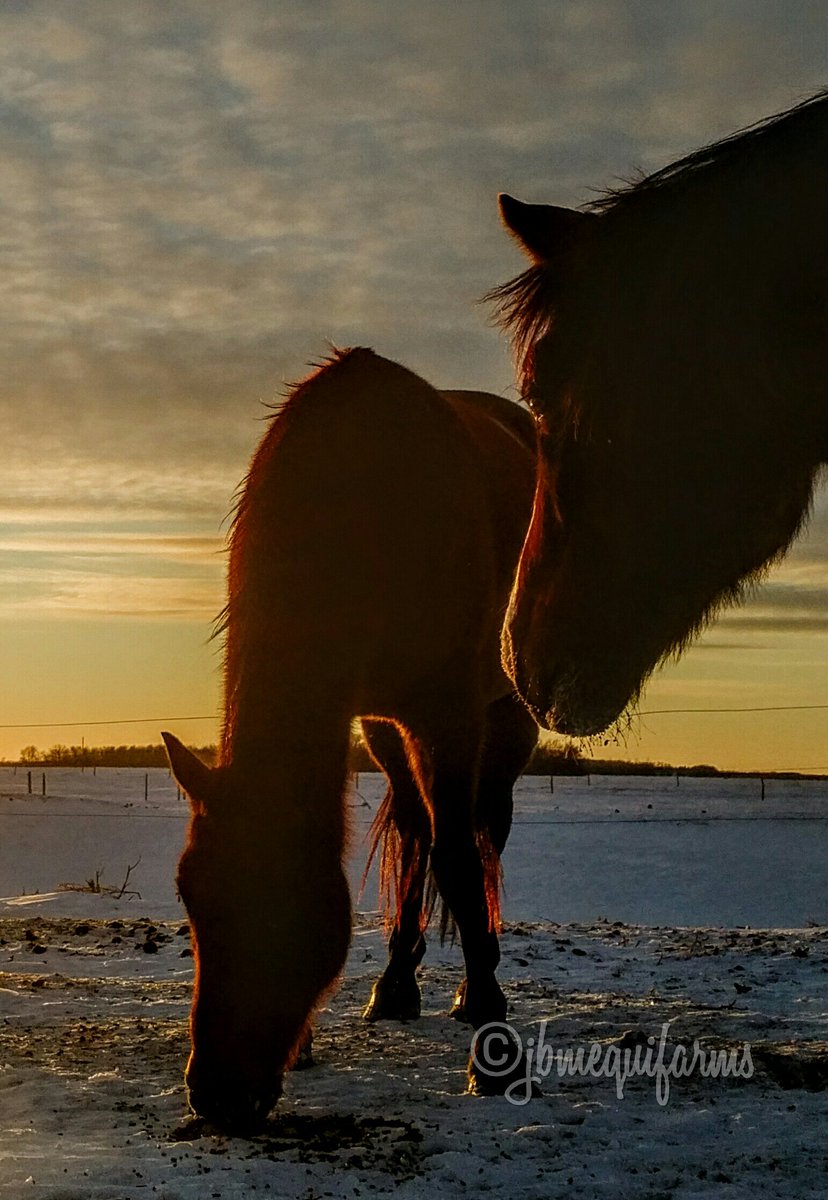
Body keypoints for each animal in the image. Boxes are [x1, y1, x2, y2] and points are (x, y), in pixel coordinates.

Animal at [162, 347, 538, 1134]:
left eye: (286, 902)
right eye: (192, 898)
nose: (217, 1096)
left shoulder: (448, 713)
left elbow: (461, 866)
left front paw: (496, 1057)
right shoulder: (376, 719)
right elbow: (425, 843)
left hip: (500, 725)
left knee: (479, 834)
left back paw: (474, 992)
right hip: (387, 731)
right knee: (418, 830)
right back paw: (396, 986)